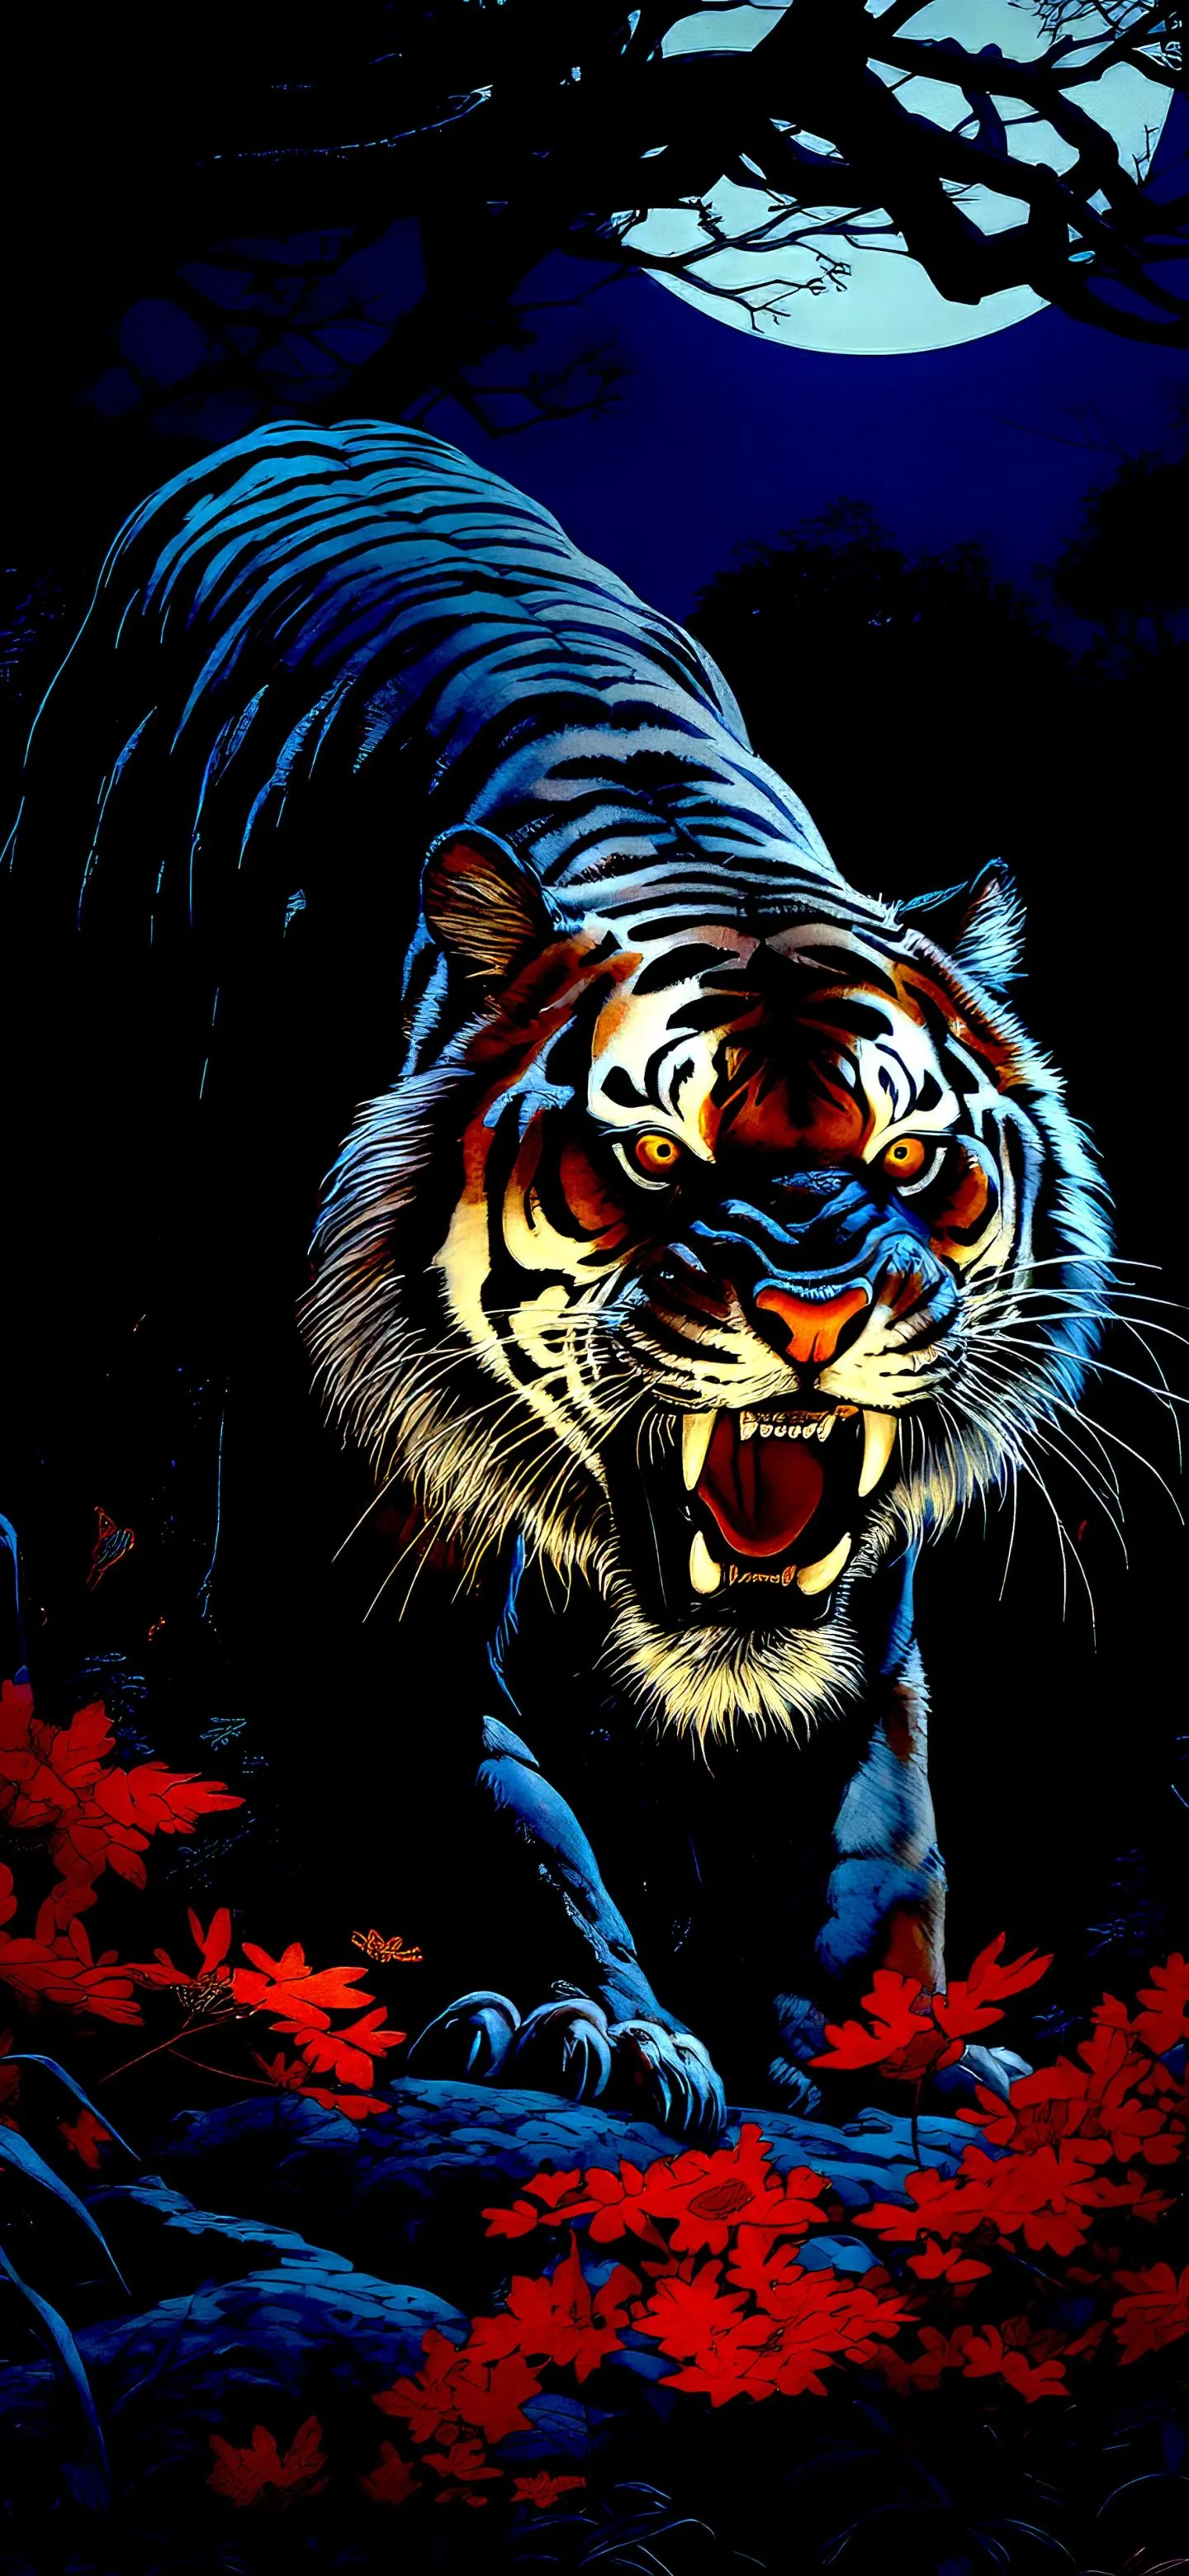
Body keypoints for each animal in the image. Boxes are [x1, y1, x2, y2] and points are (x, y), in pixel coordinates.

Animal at [6, 421, 1112, 2140]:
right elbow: (464, 1773)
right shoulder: (339, 1505)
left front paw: (891, 2048)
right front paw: (563, 2017)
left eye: (910, 1156)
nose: (818, 1309)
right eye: (653, 1152)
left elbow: (869, 1809)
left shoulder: (860, 1586)